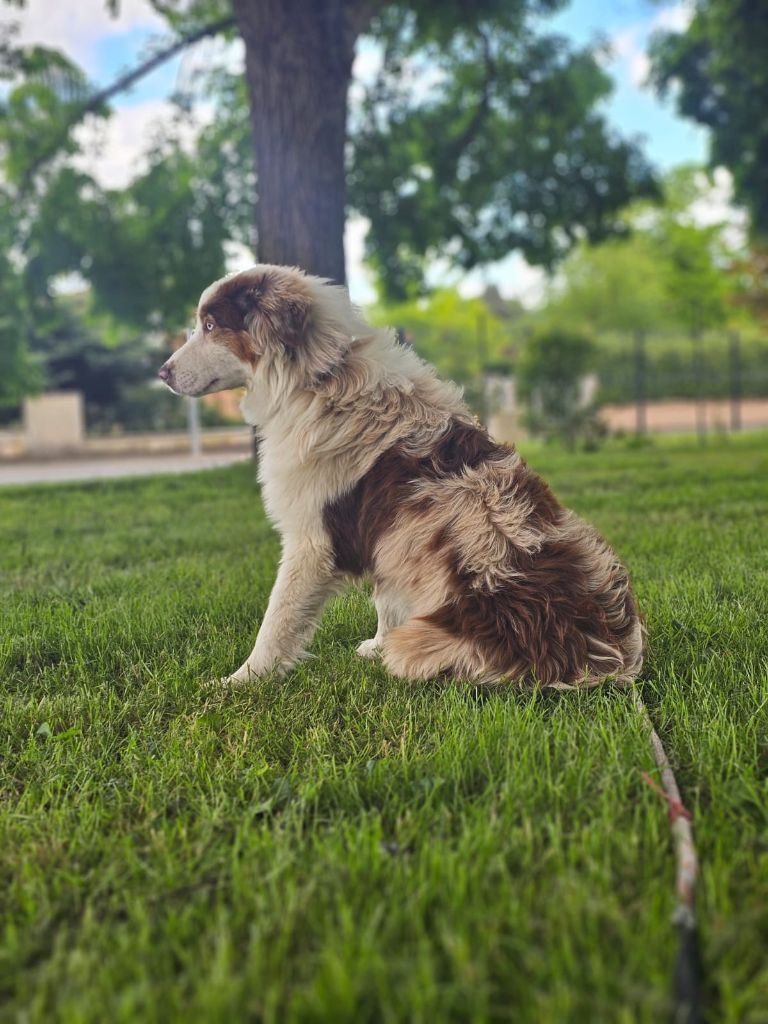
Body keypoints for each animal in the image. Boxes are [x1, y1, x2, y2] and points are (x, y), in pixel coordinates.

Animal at [157, 268, 643, 692]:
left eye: (210, 325)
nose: (162, 372)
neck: (321, 379)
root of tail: (603, 659)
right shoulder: (387, 540)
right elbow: (385, 599)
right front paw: (374, 644)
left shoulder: (312, 542)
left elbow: (277, 620)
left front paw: (242, 682)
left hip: (424, 642)